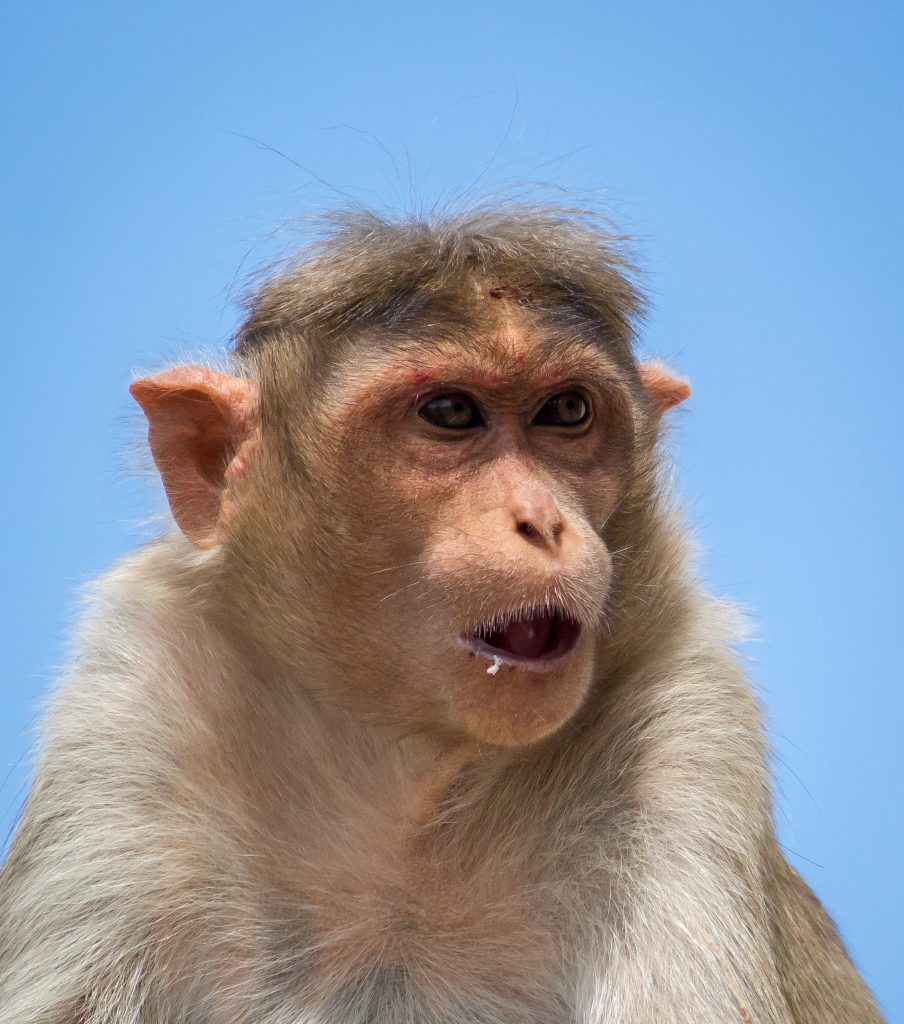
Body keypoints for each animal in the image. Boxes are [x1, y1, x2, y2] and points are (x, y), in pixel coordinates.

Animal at [0, 207, 884, 1024]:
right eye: (451, 414)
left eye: (567, 410)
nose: (543, 522)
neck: (406, 787)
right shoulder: (128, 716)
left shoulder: (689, 732)